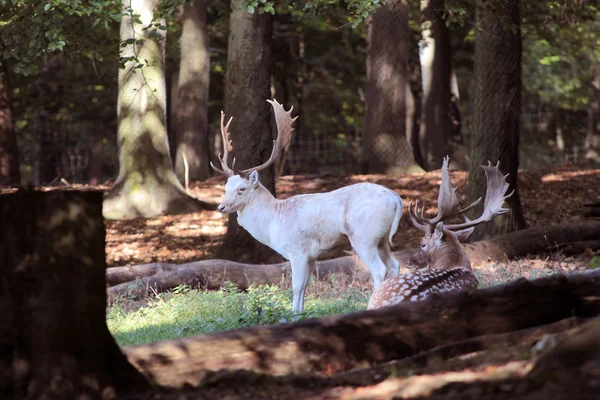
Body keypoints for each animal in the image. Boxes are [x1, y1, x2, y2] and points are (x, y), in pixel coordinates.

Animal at [213, 99, 406, 312]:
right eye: (226, 188)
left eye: (242, 189)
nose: (221, 207)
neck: (273, 222)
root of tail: (395, 198)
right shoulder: (312, 256)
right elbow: (305, 285)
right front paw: (300, 312)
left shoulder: (297, 250)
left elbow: (296, 286)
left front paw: (293, 313)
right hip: (381, 239)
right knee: (395, 265)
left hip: (364, 237)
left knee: (380, 269)